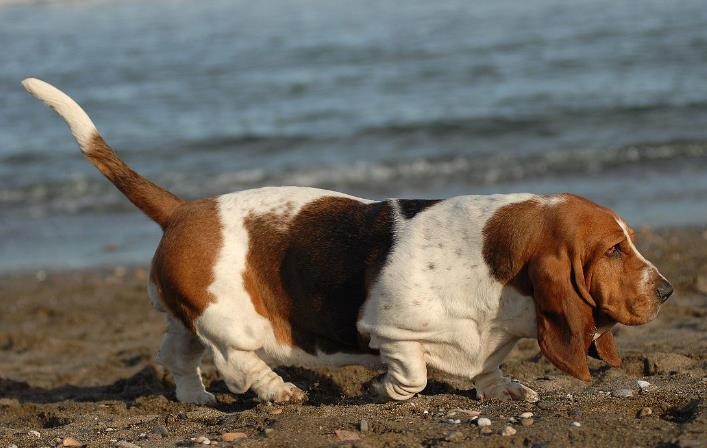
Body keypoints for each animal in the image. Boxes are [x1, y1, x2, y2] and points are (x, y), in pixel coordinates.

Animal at [22, 79, 676, 404]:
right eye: (613, 250)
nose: (668, 291)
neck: (492, 263)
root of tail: (185, 210)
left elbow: (488, 369)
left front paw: (503, 389)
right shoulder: (390, 330)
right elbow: (412, 376)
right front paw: (385, 388)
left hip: (187, 317)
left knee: (178, 357)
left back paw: (196, 400)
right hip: (232, 324)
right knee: (236, 364)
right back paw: (278, 391)